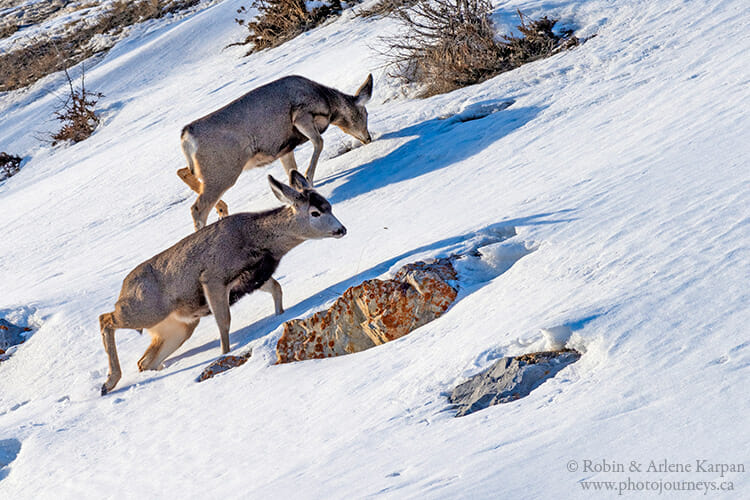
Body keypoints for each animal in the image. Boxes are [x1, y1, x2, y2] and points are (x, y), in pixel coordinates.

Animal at [99, 172, 346, 394]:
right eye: (315, 212)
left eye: (330, 206)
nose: (341, 229)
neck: (257, 242)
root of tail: (123, 288)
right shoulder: (213, 278)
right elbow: (224, 322)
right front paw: (224, 354)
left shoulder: (252, 279)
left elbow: (277, 288)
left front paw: (280, 316)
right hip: (146, 309)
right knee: (105, 319)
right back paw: (108, 382)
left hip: (178, 327)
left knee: (144, 362)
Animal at [177, 73, 376, 230]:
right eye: (365, 114)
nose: (368, 138)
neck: (327, 102)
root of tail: (186, 137)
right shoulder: (301, 115)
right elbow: (319, 142)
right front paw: (309, 178)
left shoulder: (285, 147)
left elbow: (291, 169)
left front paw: (297, 186)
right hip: (222, 170)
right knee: (197, 209)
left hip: (207, 169)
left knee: (183, 172)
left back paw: (222, 209)